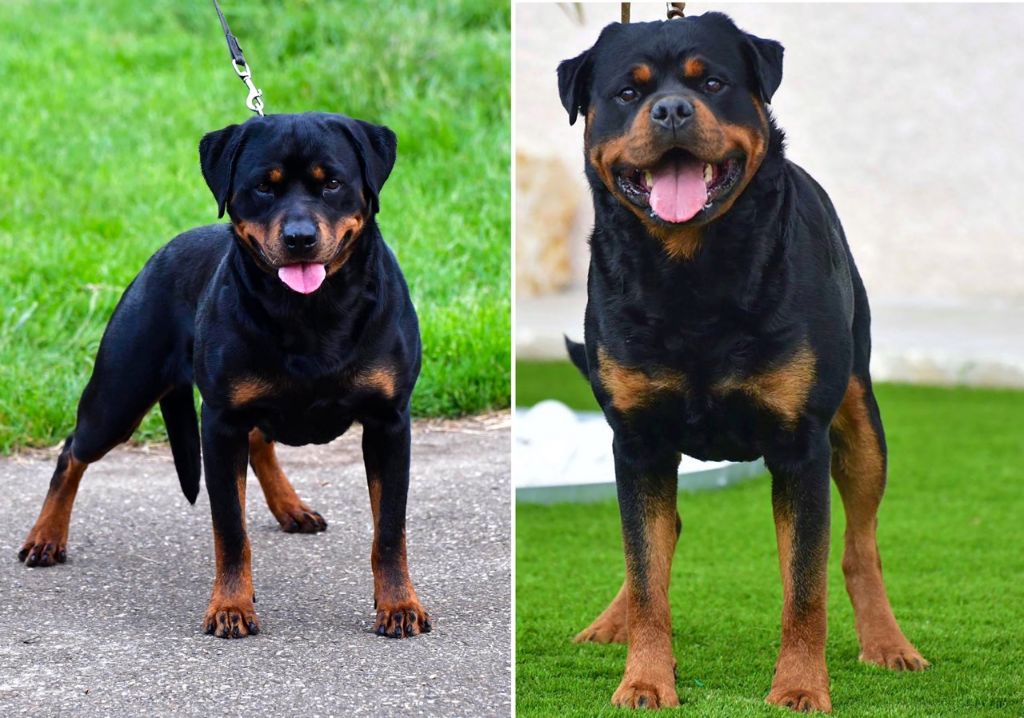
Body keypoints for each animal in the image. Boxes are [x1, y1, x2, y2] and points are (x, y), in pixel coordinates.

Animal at [561, 12, 929, 712]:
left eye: (712, 82)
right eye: (628, 93)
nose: (672, 109)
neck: (690, 269)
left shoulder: (801, 444)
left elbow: (805, 585)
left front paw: (801, 687)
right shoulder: (637, 441)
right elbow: (645, 570)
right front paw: (645, 679)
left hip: (859, 417)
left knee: (860, 544)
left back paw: (887, 644)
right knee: (655, 542)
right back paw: (611, 621)